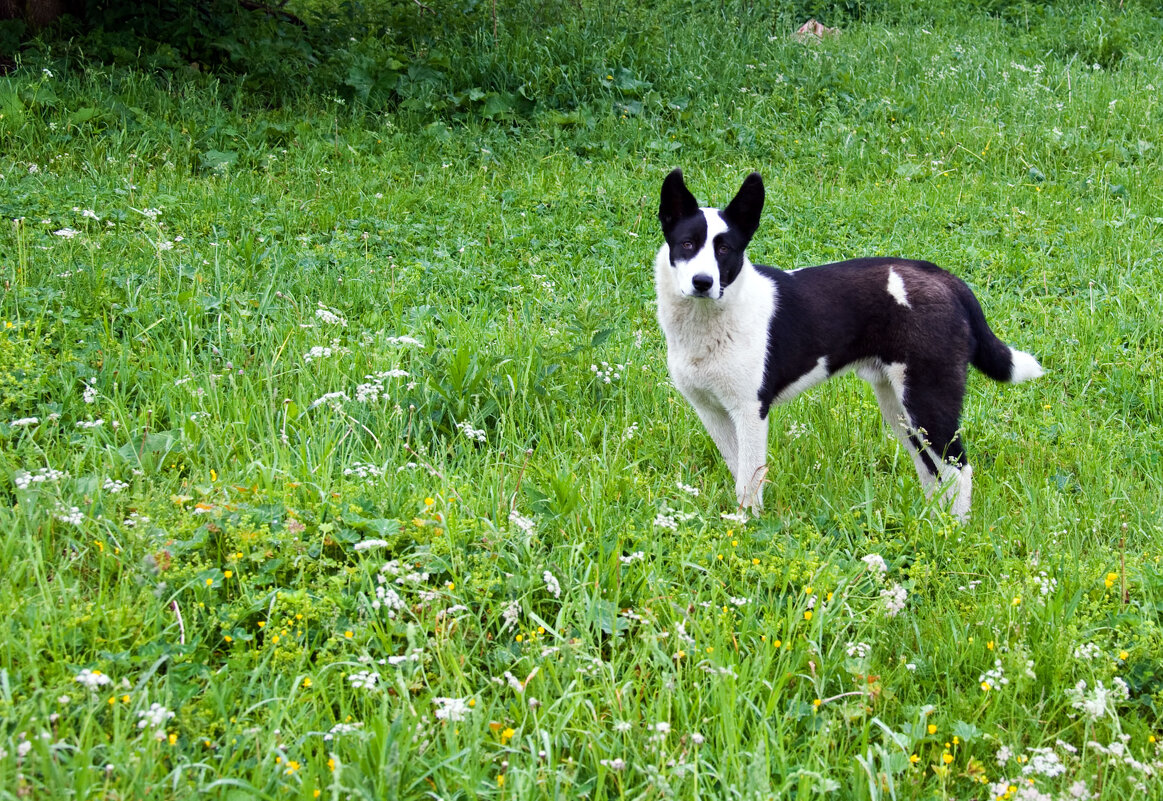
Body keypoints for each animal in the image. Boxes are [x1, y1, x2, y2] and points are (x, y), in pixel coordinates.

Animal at [655, 167, 1046, 518]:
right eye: (687, 244)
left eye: (725, 250)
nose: (703, 282)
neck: (712, 319)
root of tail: (946, 279)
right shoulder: (711, 411)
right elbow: (739, 470)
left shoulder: (751, 410)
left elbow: (749, 479)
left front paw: (747, 525)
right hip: (900, 410)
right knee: (931, 470)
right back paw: (929, 525)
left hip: (928, 398)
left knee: (958, 469)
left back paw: (954, 532)